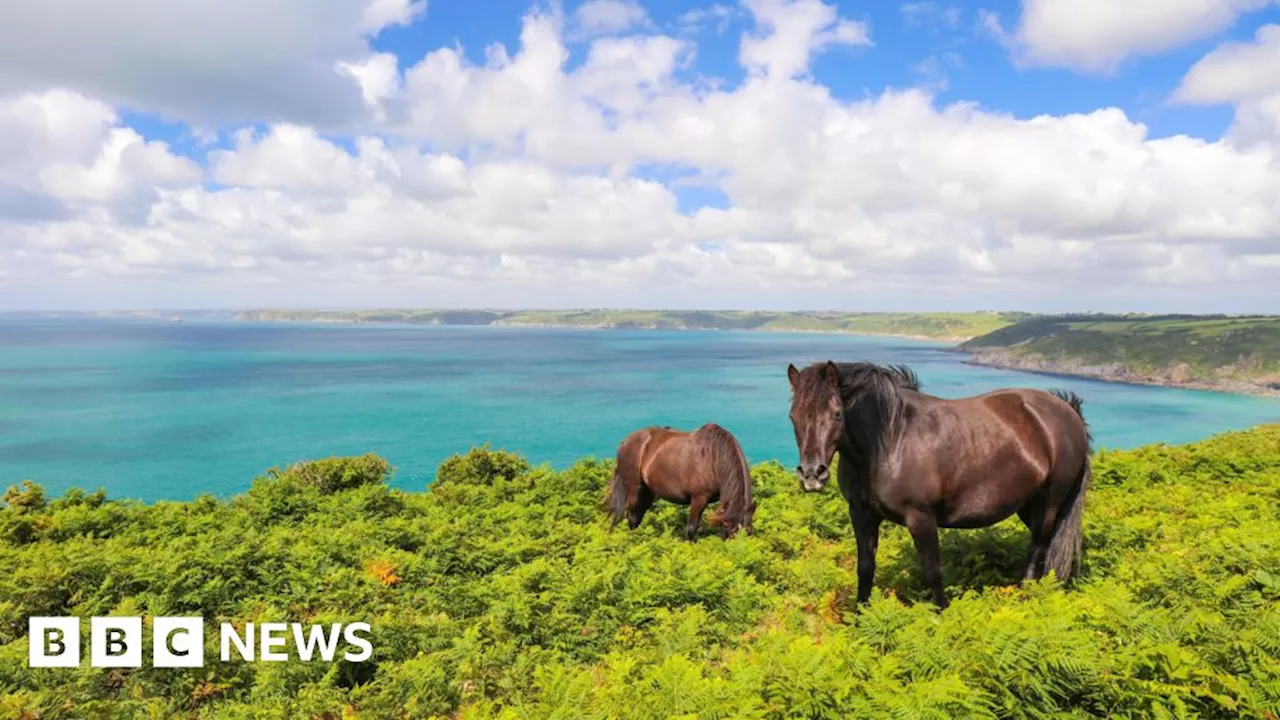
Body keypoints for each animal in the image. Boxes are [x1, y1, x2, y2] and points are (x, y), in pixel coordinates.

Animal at [604, 420, 752, 538]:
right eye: (733, 534)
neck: (714, 459)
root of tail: (624, 442)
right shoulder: (699, 498)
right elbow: (691, 529)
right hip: (635, 488)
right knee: (632, 517)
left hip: (647, 493)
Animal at [783, 358, 1095, 604]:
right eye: (793, 416)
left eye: (837, 413)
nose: (812, 474)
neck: (889, 441)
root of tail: (1066, 409)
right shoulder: (861, 514)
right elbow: (865, 568)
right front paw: (860, 615)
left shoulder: (921, 518)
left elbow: (932, 571)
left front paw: (941, 614)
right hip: (1029, 505)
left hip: (1049, 501)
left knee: (1040, 545)